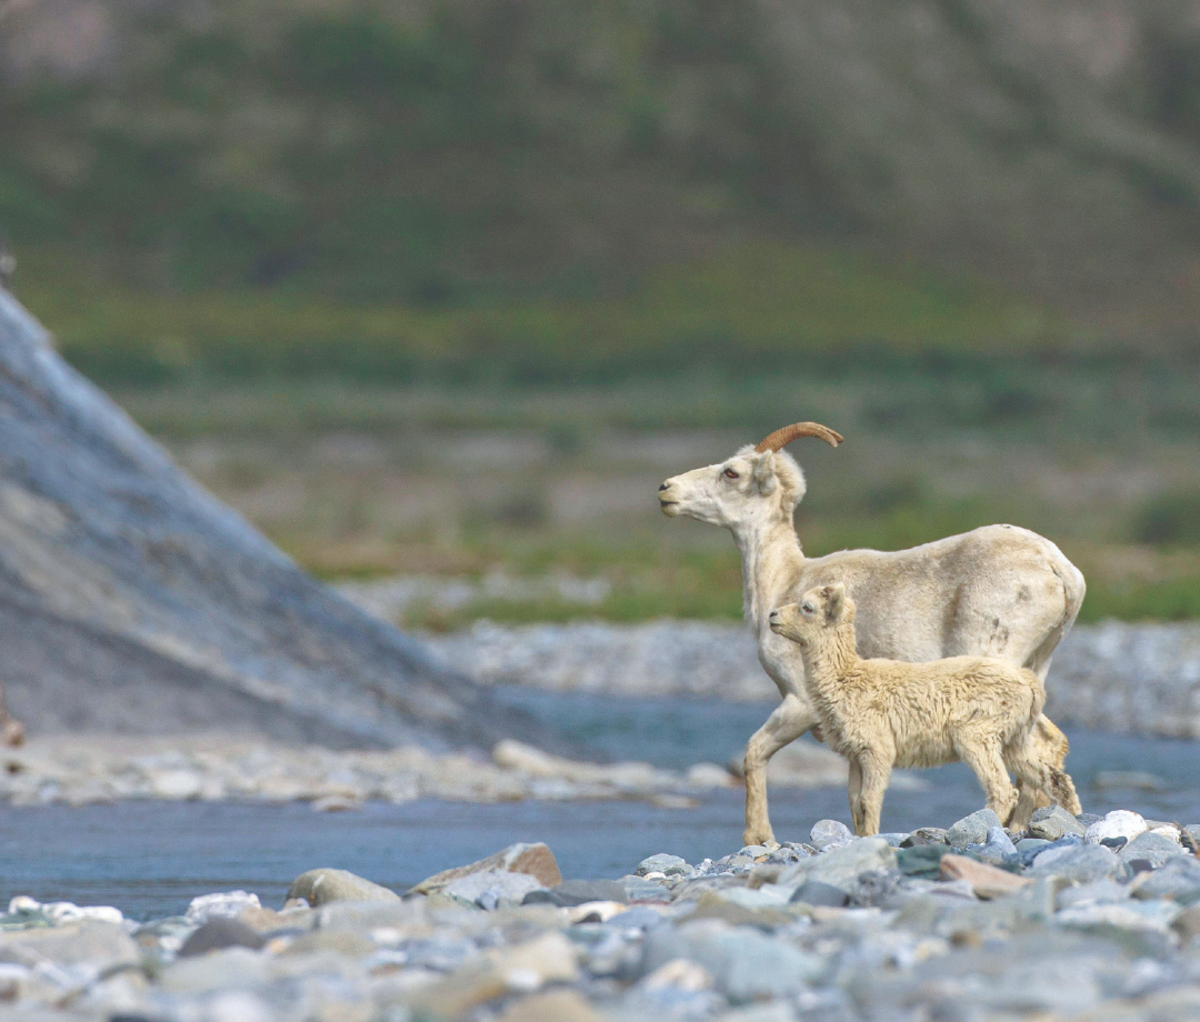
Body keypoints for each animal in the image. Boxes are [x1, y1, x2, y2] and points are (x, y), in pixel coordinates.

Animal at [768, 587, 1080, 834]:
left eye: (807, 607)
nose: (772, 616)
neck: (845, 676)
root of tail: (1030, 685)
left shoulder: (877, 748)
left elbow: (869, 800)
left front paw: (871, 837)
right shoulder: (855, 753)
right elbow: (856, 803)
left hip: (978, 733)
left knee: (1003, 789)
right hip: (1015, 737)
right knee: (1054, 778)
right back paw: (1073, 818)